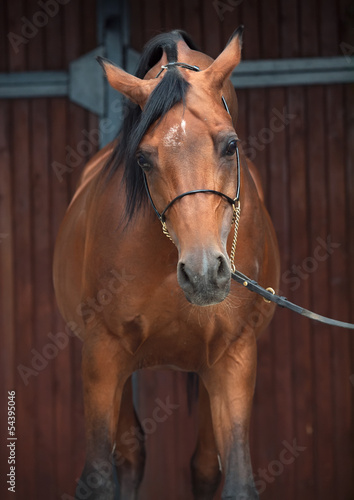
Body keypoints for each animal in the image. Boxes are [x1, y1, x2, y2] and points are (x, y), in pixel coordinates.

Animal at [53, 27, 280, 500]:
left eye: (231, 145)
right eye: (143, 157)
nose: (203, 274)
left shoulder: (234, 358)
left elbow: (235, 481)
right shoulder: (103, 353)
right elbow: (99, 476)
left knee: (203, 465)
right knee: (131, 454)